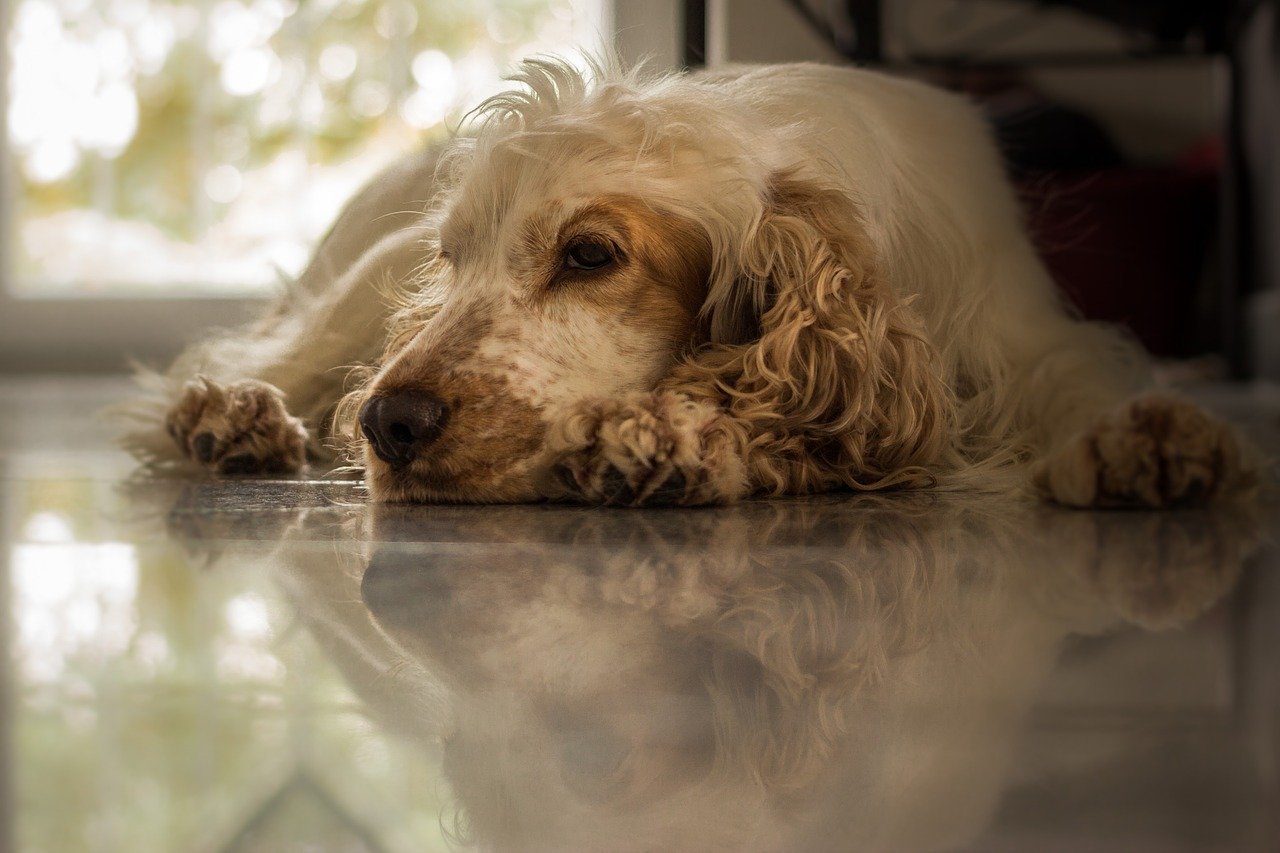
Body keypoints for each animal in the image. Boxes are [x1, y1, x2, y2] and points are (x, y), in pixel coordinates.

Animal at [122, 56, 1249, 504]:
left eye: (590, 255)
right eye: (456, 260)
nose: (390, 426)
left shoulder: (1015, 327)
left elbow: (1081, 380)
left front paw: (1142, 439)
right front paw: (668, 434)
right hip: (358, 276)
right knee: (267, 354)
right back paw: (231, 417)